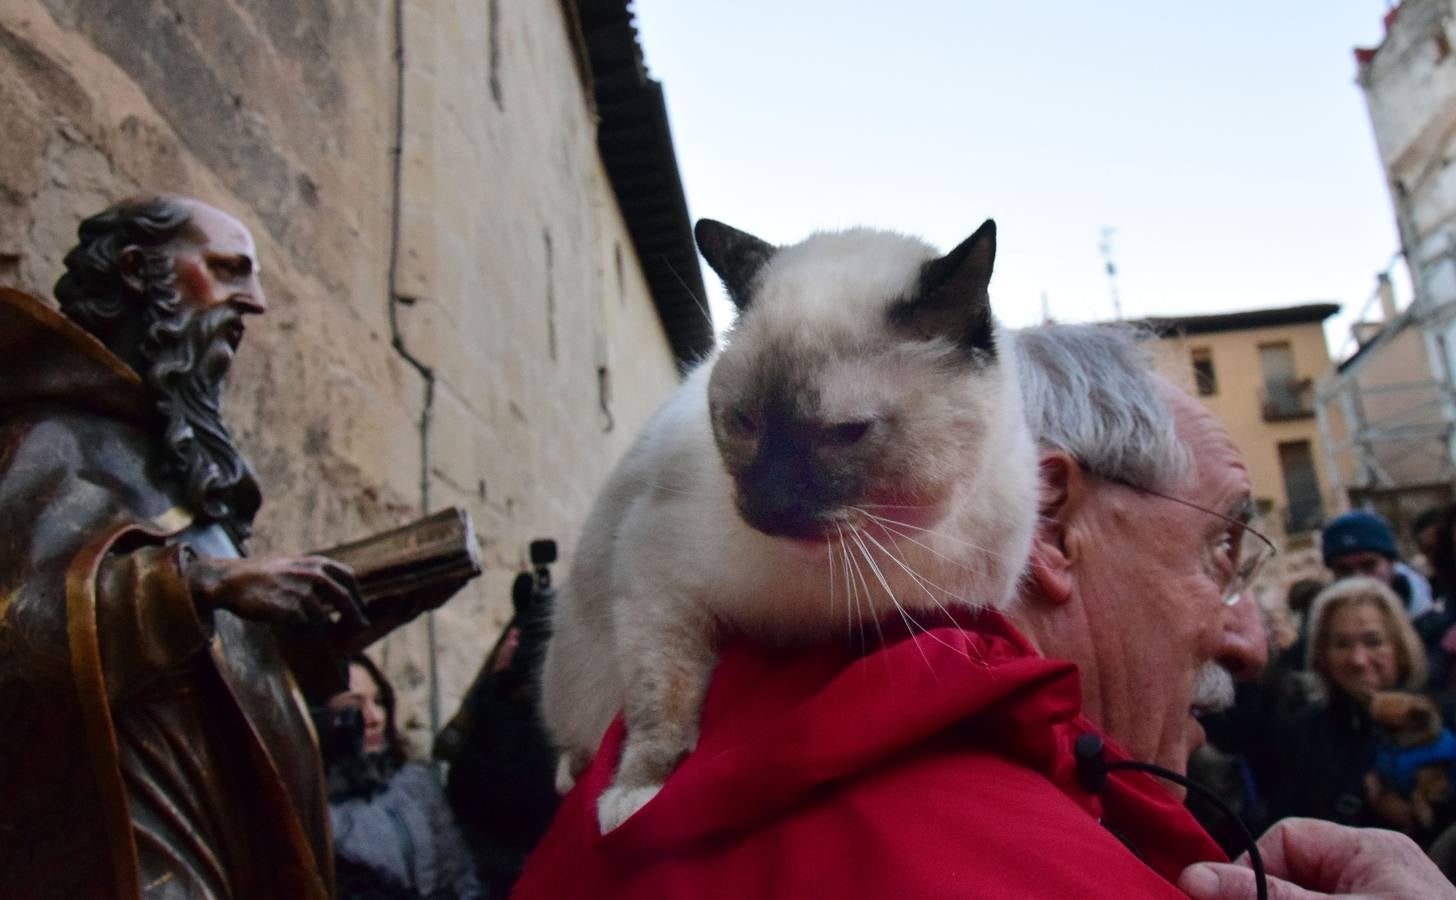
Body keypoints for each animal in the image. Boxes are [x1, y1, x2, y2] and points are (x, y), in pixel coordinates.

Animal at [541, 214, 1042, 833]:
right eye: (742, 422)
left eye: (845, 433)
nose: (768, 507)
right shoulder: (657, 585)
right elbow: (663, 701)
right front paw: (637, 796)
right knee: (580, 734)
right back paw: (572, 775)